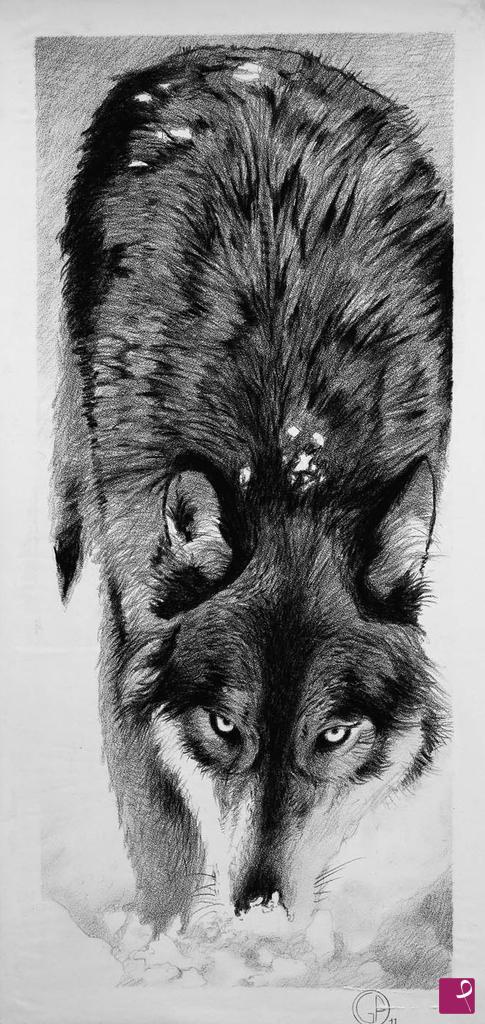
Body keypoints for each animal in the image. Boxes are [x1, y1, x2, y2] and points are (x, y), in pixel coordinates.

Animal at [52, 44, 452, 932]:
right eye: (224, 725)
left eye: (332, 734)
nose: (260, 910)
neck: (287, 459)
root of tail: (246, 54)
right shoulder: (130, 632)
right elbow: (163, 825)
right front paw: (161, 940)